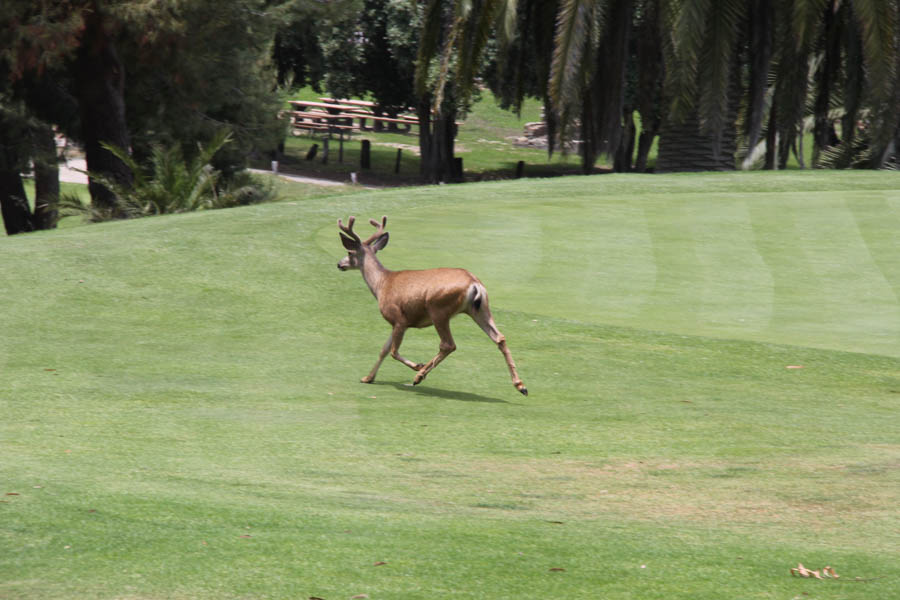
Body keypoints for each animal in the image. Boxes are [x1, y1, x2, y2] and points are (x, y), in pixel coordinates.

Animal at [338, 214, 528, 394]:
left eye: (349, 252)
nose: (339, 264)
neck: (381, 284)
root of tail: (475, 284)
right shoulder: (396, 323)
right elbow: (383, 350)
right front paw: (367, 378)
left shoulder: (399, 318)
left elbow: (392, 351)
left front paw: (418, 366)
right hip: (480, 308)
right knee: (499, 337)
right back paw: (520, 385)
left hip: (439, 309)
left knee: (448, 344)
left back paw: (419, 377)